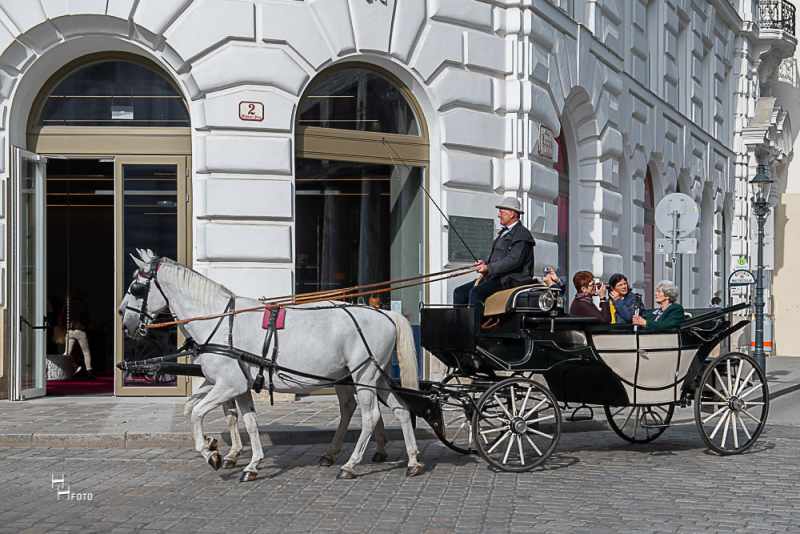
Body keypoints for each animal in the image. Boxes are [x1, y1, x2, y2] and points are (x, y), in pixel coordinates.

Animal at [119, 251, 422, 482]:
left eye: (136, 287)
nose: (123, 318)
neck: (221, 322)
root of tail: (385, 314)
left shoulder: (228, 385)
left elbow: (196, 413)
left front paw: (211, 453)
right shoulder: (239, 387)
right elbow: (247, 422)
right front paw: (249, 463)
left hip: (364, 375)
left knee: (370, 416)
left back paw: (350, 464)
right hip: (372, 377)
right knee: (399, 409)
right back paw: (411, 461)